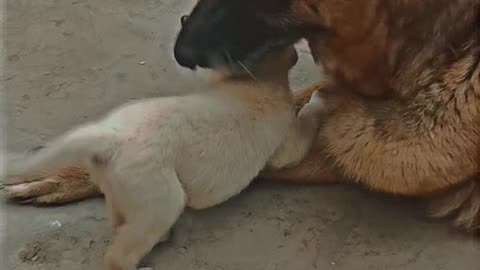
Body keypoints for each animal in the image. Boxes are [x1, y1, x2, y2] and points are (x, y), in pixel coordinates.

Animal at [2, 46, 322, 270]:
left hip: (119, 186)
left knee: (120, 223)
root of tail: (111, 137)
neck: (258, 82)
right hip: (159, 195)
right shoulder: (284, 143)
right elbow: (298, 138)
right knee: (118, 256)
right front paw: (319, 101)